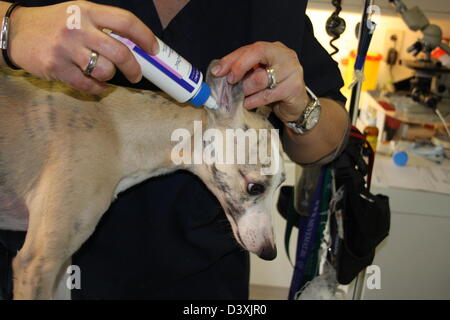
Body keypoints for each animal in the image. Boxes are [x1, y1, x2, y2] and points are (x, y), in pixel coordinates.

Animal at [0, 61, 284, 298]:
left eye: (280, 185)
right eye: (254, 187)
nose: (270, 253)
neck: (116, 129)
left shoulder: (60, 265)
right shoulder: (37, 263)